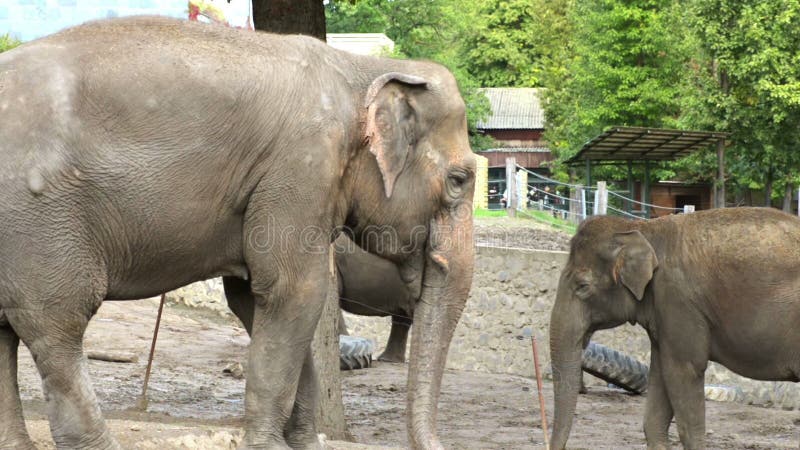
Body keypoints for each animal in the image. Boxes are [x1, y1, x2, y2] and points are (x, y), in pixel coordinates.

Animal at [0, 15, 476, 450]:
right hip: (38, 219)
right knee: (57, 322)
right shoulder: (301, 168)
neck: (360, 68)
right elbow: (293, 291)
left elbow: (255, 298)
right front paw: (270, 446)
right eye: (459, 180)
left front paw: (304, 443)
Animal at [552, 208, 800, 450]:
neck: (642, 228)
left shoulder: (677, 300)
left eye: (582, 286)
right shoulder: (662, 314)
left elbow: (683, 370)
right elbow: (659, 380)